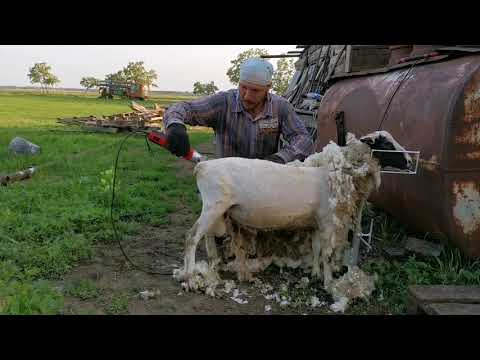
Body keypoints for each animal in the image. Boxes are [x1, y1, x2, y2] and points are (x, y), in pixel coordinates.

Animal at [173, 131, 412, 296]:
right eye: (386, 143)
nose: (410, 161)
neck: (338, 171)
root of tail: (202, 167)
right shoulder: (327, 221)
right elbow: (327, 254)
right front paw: (328, 283)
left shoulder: (315, 222)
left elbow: (316, 248)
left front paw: (314, 273)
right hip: (214, 205)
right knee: (191, 237)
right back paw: (190, 276)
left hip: (216, 210)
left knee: (206, 236)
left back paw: (213, 264)